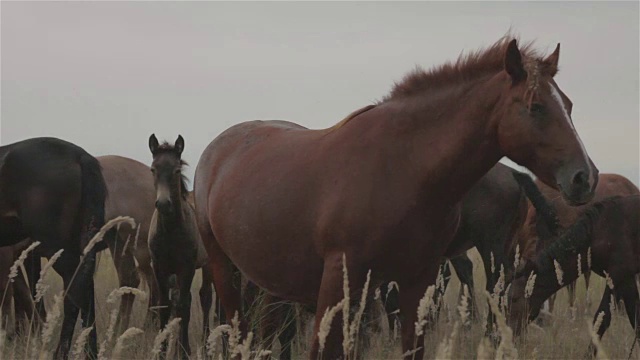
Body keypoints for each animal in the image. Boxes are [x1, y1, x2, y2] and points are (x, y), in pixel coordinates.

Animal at [0, 136, 106, 358]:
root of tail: (79, 156)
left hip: (58, 248)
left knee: (74, 292)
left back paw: (60, 352)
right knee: (86, 290)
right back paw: (90, 352)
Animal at [148, 134, 208, 358]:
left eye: (176, 170)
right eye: (153, 169)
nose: (163, 204)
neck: (171, 232)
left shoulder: (187, 267)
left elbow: (182, 306)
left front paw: (182, 351)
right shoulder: (159, 268)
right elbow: (165, 305)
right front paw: (162, 350)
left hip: (207, 265)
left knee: (203, 297)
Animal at [195, 35, 600, 358]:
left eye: (568, 105)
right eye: (535, 106)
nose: (585, 177)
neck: (403, 169)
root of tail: (217, 149)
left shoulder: (415, 280)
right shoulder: (338, 282)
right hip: (224, 268)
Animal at [510, 194, 640, 354]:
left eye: (514, 299)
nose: (509, 331)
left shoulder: (617, 276)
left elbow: (602, 318)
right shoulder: (626, 279)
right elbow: (635, 315)